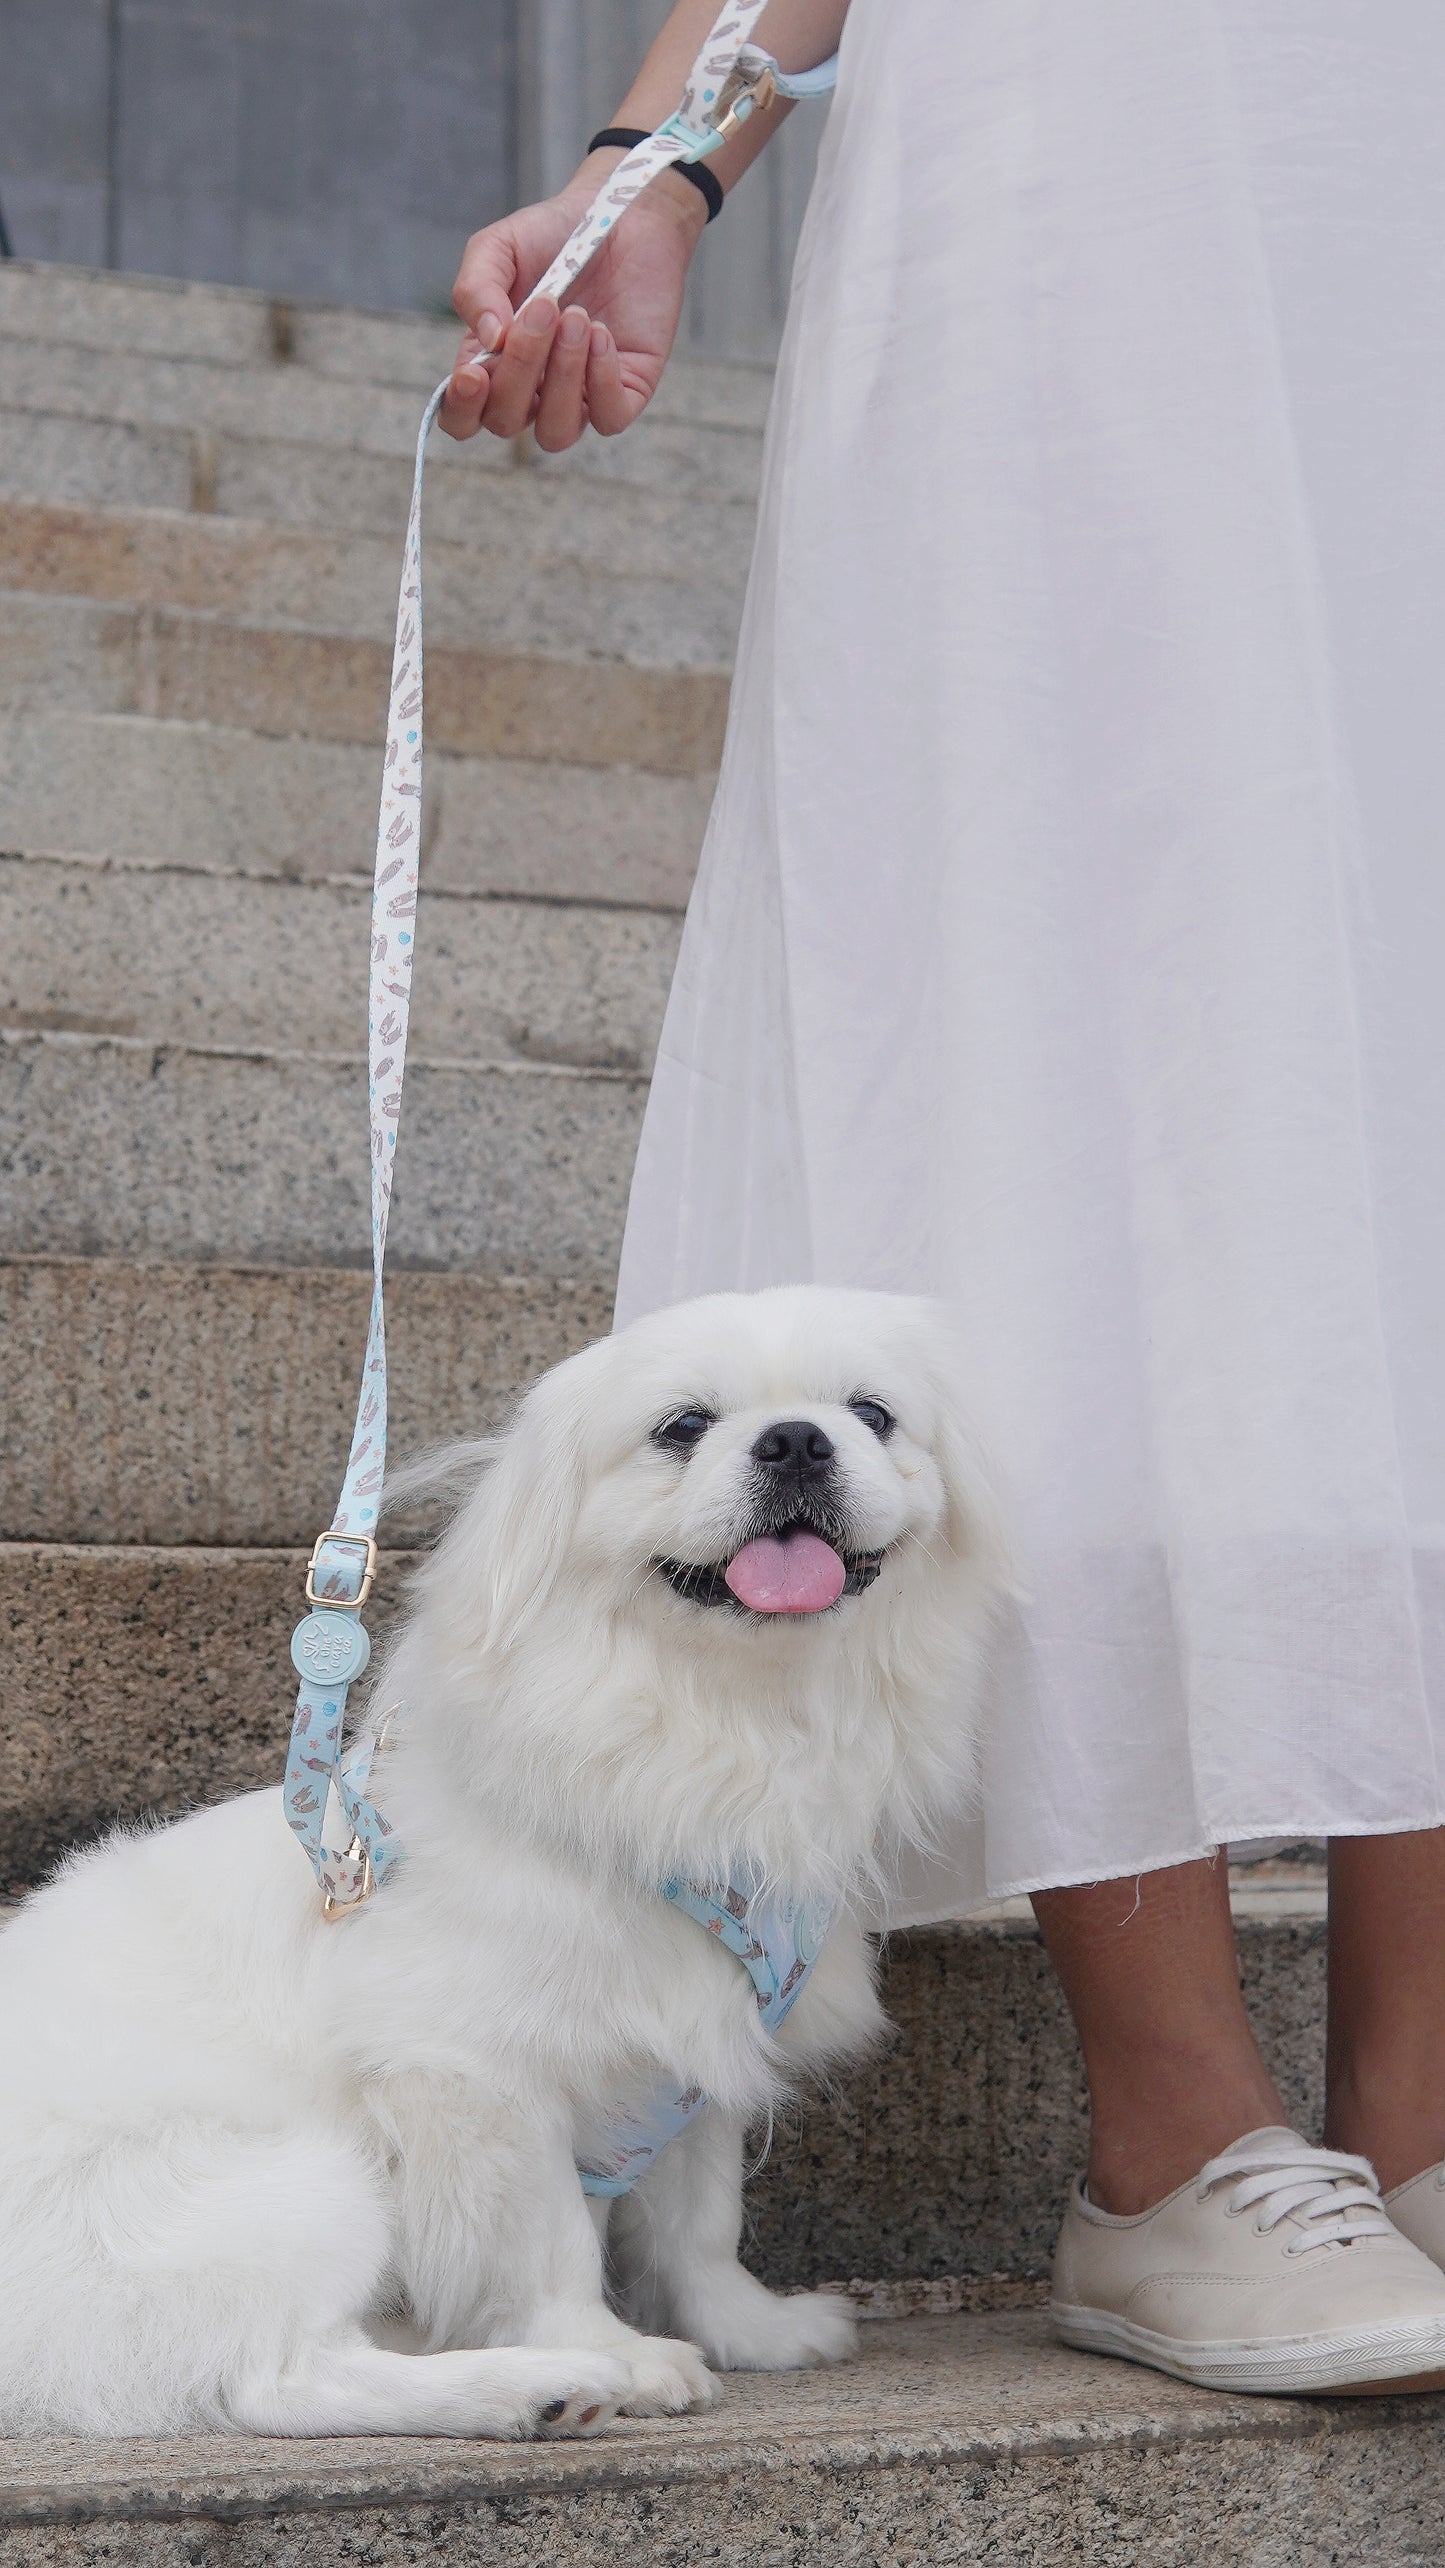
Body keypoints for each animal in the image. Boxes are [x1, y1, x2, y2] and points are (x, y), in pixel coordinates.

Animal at [0, 1294, 1000, 2434]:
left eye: (870, 1415)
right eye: (683, 1426)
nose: (795, 1439)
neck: (729, 1725)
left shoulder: (688, 2053)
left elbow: (697, 2223)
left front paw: (749, 2331)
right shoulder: (478, 2075)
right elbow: (546, 2243)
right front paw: (612, 2351)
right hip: (304, 2188)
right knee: (277, 2379)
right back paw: (540, 2386)